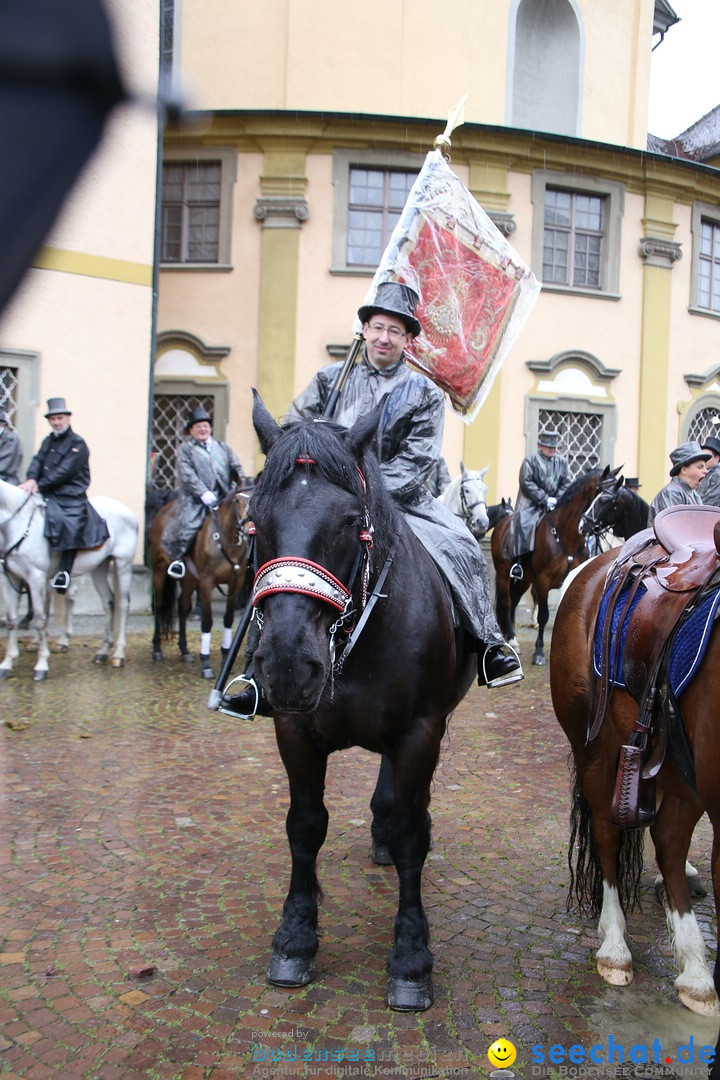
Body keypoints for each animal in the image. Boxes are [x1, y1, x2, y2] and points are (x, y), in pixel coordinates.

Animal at [0, 483, 139, 682]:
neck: (20, 525)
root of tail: (129, 513)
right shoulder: (10, 578)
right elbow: (12, 620)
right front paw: (7, 663)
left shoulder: (36, 578)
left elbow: (40, 619)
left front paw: (41, 664)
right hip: (99, 568)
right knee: (108, 602)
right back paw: (103, 651)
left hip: (123, 564)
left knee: (122, 604)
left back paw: (118, 654)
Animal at [147, 488, 252, 678]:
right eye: (237, 501)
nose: (248, 531)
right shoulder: (206, 583)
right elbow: (207, 621)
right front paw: (206, 663)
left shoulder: (236, 584)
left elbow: (228, 619)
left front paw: (225, 657)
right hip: (160, 571)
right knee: (159, 605)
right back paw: (157, 648)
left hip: (189, 578)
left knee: (183, 606)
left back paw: (184, 651)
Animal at [245, 390, 474, 1010]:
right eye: (254, 521)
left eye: (351, 522)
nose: (288, 664)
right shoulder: (293, 731)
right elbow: (304, 826)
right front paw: (295, 939)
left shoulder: (421, 731)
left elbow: (413, 834)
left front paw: (412, 959)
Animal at [492, 466, 621, 665]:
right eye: (601, 495)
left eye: (616, 498)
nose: (586, 525)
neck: (567, 536)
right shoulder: (543, 581)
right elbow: (543, 615)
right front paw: (539, 652)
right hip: (503, 575)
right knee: (506, 603)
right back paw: (512, 640)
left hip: (523, 580)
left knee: (513, 602)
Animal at [552, 540, 720, 1054]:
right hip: (597, 749)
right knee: (609, 835)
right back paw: (615, 948)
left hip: (680, 771)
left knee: (668, 842)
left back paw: (695, 972)